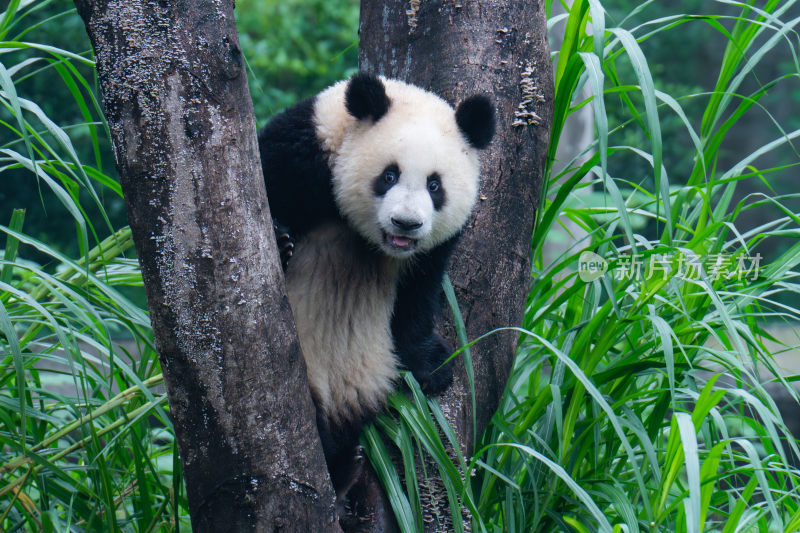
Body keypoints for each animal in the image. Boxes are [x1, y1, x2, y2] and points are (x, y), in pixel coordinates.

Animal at [258, 71, 494, 498]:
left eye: (435, 186)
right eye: (389, 175)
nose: (406, 223)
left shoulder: (433, 249)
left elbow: (419, 294)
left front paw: (432, 365)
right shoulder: (301, 153)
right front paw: (281, 240)